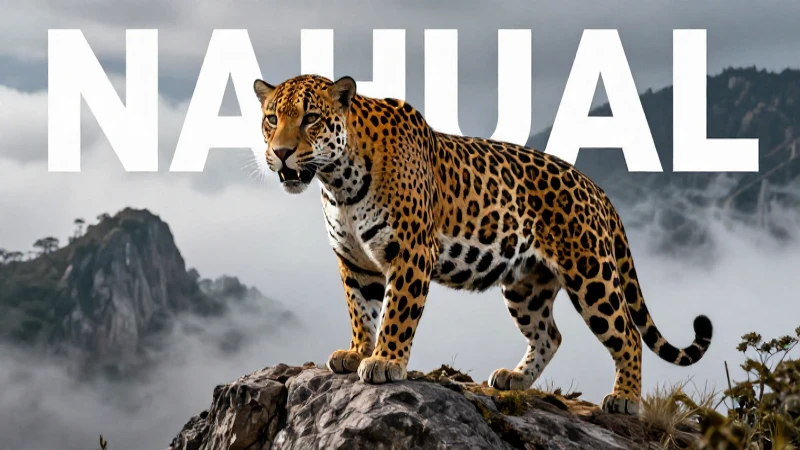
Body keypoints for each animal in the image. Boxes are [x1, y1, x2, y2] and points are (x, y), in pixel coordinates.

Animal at [252, 74, 713, 415]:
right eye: (272, 118)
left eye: (311, 118)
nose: (281, 153)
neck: (339, 183)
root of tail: (597, 189)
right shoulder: (355, 260)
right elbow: (360, 311)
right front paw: (356, 351)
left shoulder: (411, 252)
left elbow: (397, 313)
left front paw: (384, 362)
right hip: (526, 286)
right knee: (550, 334)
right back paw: (514, 379)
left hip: (591, 273)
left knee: (627, 334)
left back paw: (625, 399)